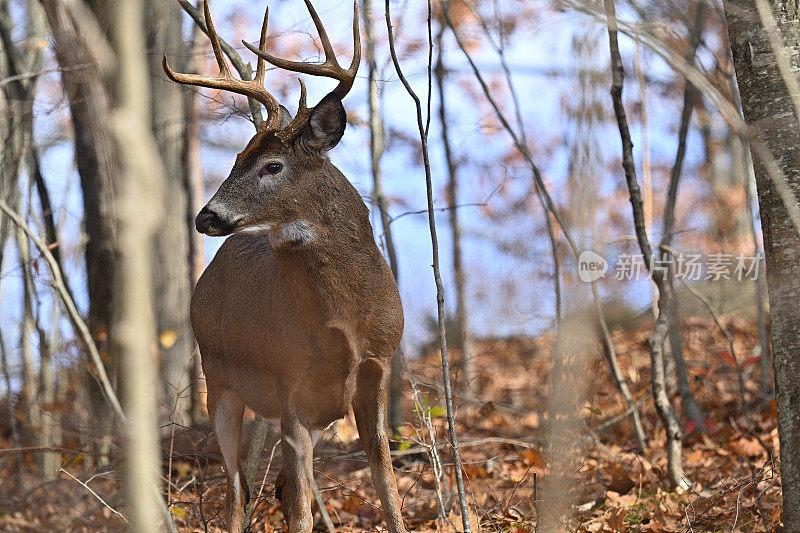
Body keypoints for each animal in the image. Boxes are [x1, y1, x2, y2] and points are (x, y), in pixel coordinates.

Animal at [164, 2, 406, 528]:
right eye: (237, 157)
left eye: (272, 165)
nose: (205, 216)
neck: (344, 321)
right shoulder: (289, 384)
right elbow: (298, 513)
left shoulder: (377, 369)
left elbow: (388, 489)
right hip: (219, 380)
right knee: (238, 488)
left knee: (278, 484)